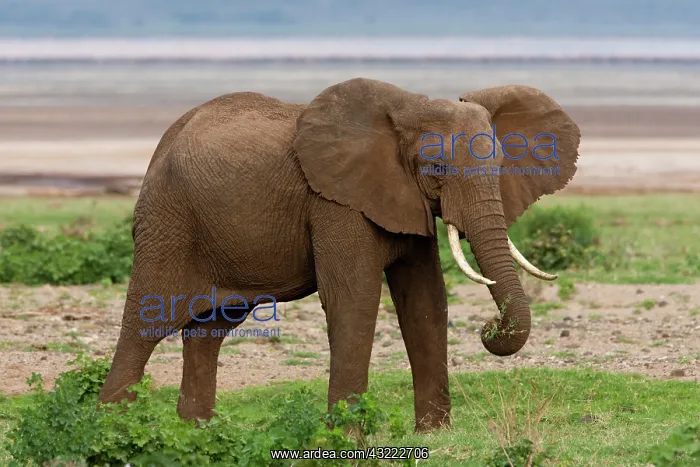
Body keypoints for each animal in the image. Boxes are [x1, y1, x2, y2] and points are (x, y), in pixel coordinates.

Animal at [98, 77, 581, 432]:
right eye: (437, 169)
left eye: (499, 167)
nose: (489, 328)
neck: (410, 108)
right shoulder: (335, 203)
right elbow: (354, 298)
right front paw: (347, 437)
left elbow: (425, 301)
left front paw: (435, 435)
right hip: (168, 222)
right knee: (145, 323)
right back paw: (113, 429)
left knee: (208, 332)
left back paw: (198, 432)